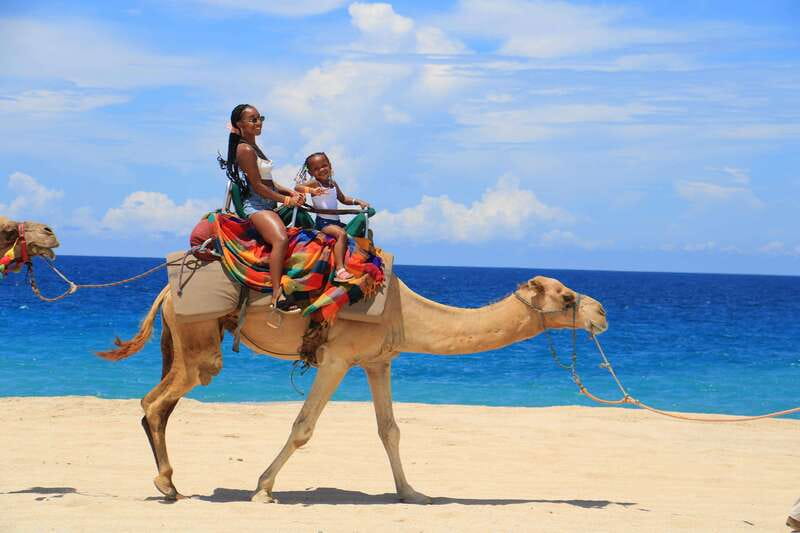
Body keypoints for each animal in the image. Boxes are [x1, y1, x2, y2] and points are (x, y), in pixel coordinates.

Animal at [99, 265, 608, 504]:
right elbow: (303, 427)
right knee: (156, 400)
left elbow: (390, 430)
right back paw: (167, 484)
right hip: (200, 342)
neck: (406, 311)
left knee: (159, 402)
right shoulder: (338, 357)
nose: (601, 313)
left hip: (181, 342)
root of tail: (166, 291)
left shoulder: (377, 361)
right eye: (566, 296)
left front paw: (413, 493)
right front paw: (263, 488)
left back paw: (169, 482)